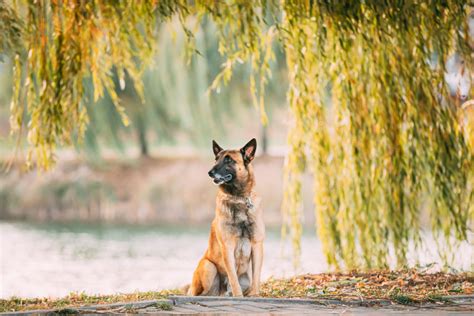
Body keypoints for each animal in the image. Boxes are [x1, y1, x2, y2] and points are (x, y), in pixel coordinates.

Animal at [186, 138, 266, 296]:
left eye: (229, 160)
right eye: (216, 159)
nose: (210, 172)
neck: (239, 199)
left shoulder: (257, 245)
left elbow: (256, 277)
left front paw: (255, 295)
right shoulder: (227, 247)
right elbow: (233, 279)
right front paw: (238, 296)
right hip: (209, 267)